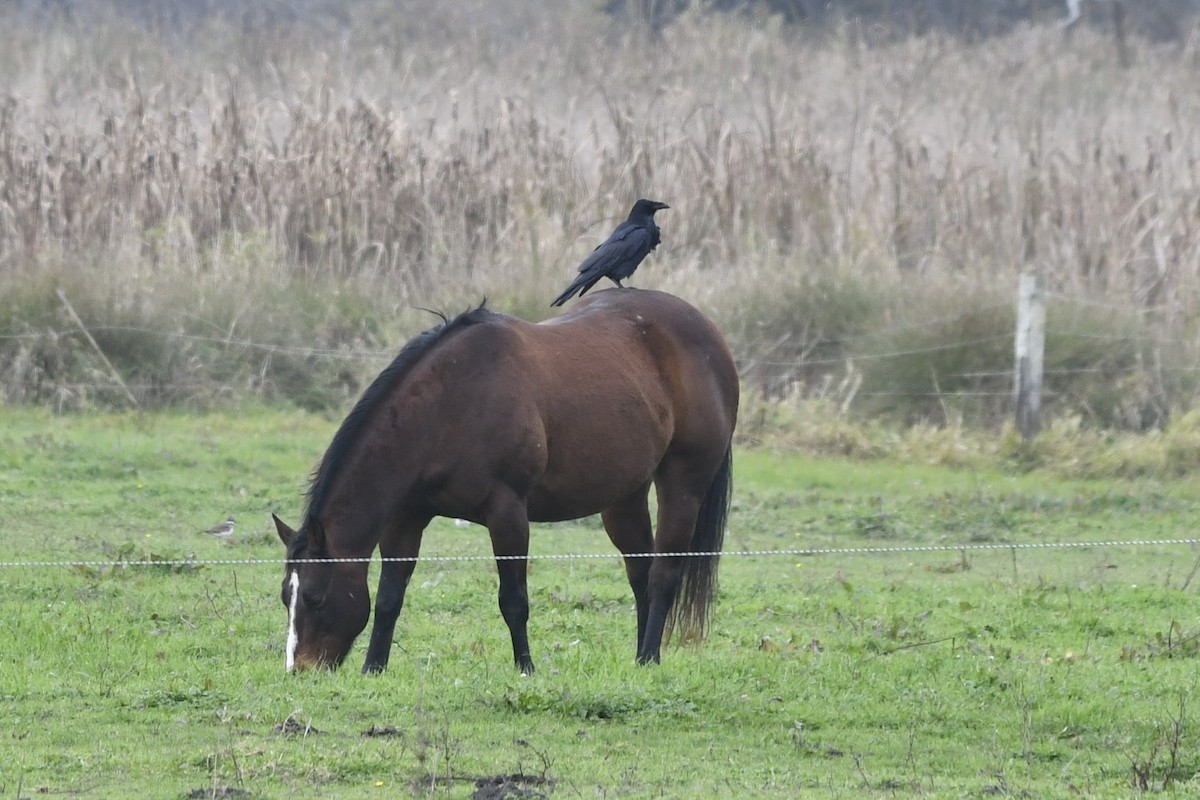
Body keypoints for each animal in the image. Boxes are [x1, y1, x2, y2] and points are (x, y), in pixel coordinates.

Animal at [274, 291, 734, 671]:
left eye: (314, 597)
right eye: (285, 596)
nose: (301, 669)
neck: (448, 405)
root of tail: (709, 334)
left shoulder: (507, 512)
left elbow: (513, 600)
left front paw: (525, 668)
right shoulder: (406, 517)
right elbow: (389, 597)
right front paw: (374, 667)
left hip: (683, 483)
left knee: (664, 573)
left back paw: (651, 657)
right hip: (624, 495)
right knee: (640, 572)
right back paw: (639, 657)